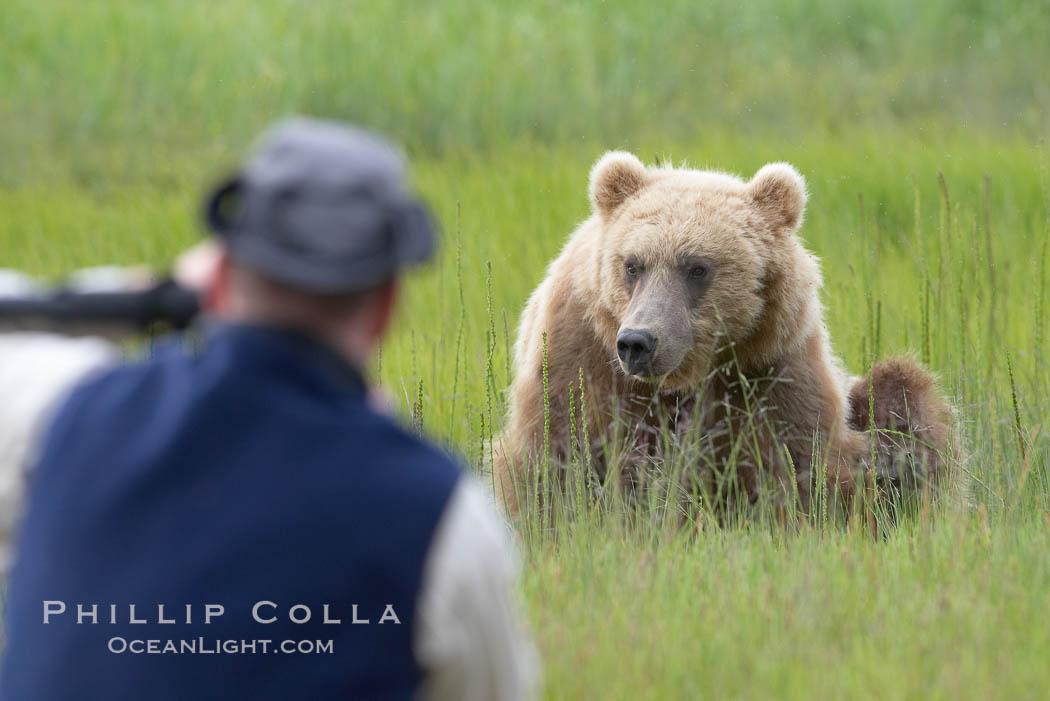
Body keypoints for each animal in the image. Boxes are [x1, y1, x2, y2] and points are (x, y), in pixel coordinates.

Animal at [495, 152, 961, 514]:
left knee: (902, 394)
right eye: (632, 265)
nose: (638, 342)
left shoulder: (770, 368)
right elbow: (558, 453)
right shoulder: (582, 354)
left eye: (697, 268)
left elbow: (799, 469)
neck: (689, 376)